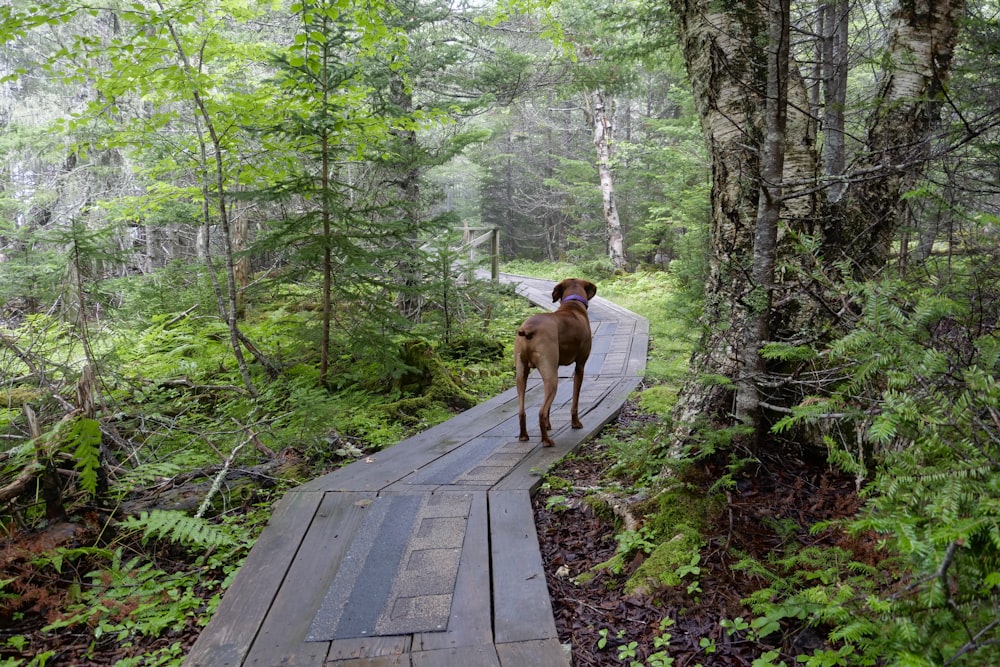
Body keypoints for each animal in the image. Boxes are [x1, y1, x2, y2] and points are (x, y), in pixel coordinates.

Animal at [516, 280, 592, 446]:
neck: (573, 303)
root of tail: (528, 329)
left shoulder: (555, 366)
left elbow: (550, 407)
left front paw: (549, 425)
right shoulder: (580, 366)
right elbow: (575, 401)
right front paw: (575, 423)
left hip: (522, 375)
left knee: (522, 411)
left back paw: (524, 436)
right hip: (552, 379)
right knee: (541, 412)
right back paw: (546, 441)